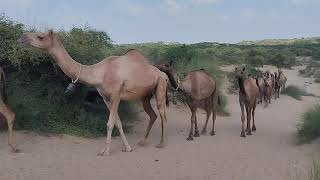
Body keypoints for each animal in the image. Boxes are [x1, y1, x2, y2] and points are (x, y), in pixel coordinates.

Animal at [19, 30, 170, 155]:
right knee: (153, 115)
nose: (22, 38)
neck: (99, 73)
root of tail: (162, 73)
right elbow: (117, 122)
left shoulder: (116, 95)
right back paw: (143, 141)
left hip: (161, 86)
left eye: (40, 36)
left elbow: (109, 123)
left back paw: (161, 143)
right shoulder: (106, 98)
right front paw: (126, 148)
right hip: (145, 96)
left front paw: (106, 152)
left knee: (163, 115)